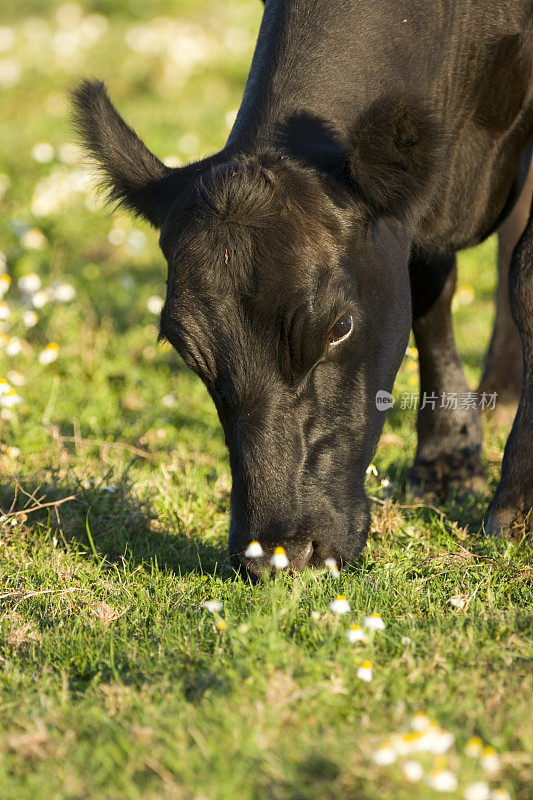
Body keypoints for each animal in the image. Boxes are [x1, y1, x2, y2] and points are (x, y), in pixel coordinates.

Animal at [71, 1, 532, 576]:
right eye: (186, 349)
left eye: (340, 327)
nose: (279, 556)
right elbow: (427, 284)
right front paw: (447, 459)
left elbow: (523, 278)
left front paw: (514, 505)